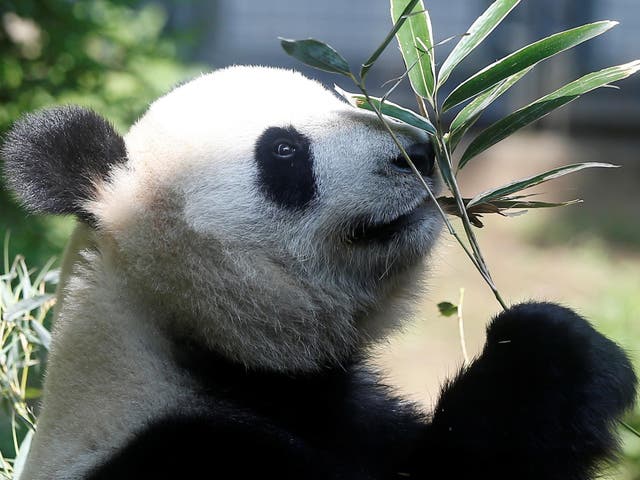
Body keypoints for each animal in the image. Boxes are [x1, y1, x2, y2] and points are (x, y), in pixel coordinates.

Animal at [1, 66, 637, 480]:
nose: (419, 152)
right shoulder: (188, 452)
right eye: (284, 150)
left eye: (351, 102)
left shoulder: (345, 411)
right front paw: (546, 352)